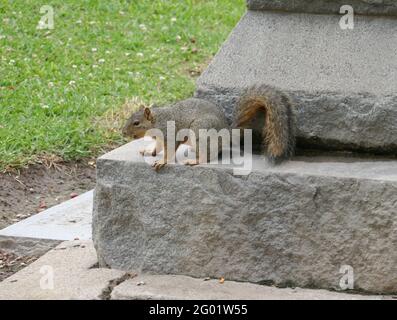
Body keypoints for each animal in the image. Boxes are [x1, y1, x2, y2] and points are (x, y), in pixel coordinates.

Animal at [122, 84, 296, 170]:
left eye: (136, 123)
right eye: (128, 118)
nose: (123, 132)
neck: (157, 121)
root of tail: (227, 133)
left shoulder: (169, 133)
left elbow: (169, 150)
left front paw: (162, 162)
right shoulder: (159, 138)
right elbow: (157, 147)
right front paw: (148, 151)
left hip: (200, 130)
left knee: (207, 156)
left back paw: (194, 160)